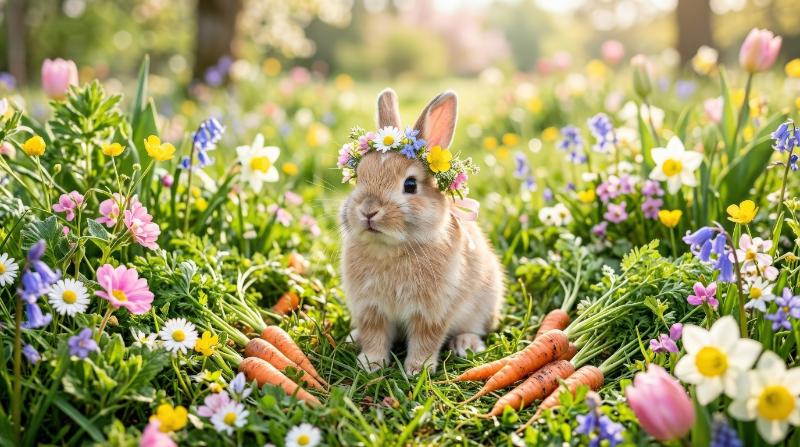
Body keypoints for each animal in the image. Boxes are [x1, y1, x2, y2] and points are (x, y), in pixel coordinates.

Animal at [340, 88, 505, 375]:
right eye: (359, 177)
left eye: (410, 185)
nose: (368, 211)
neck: (392, 248)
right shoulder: (371, 309)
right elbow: (374, 336)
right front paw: (370, 364)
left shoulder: (431, 312)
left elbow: (426, 340)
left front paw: (417, 369)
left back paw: (466, 344)